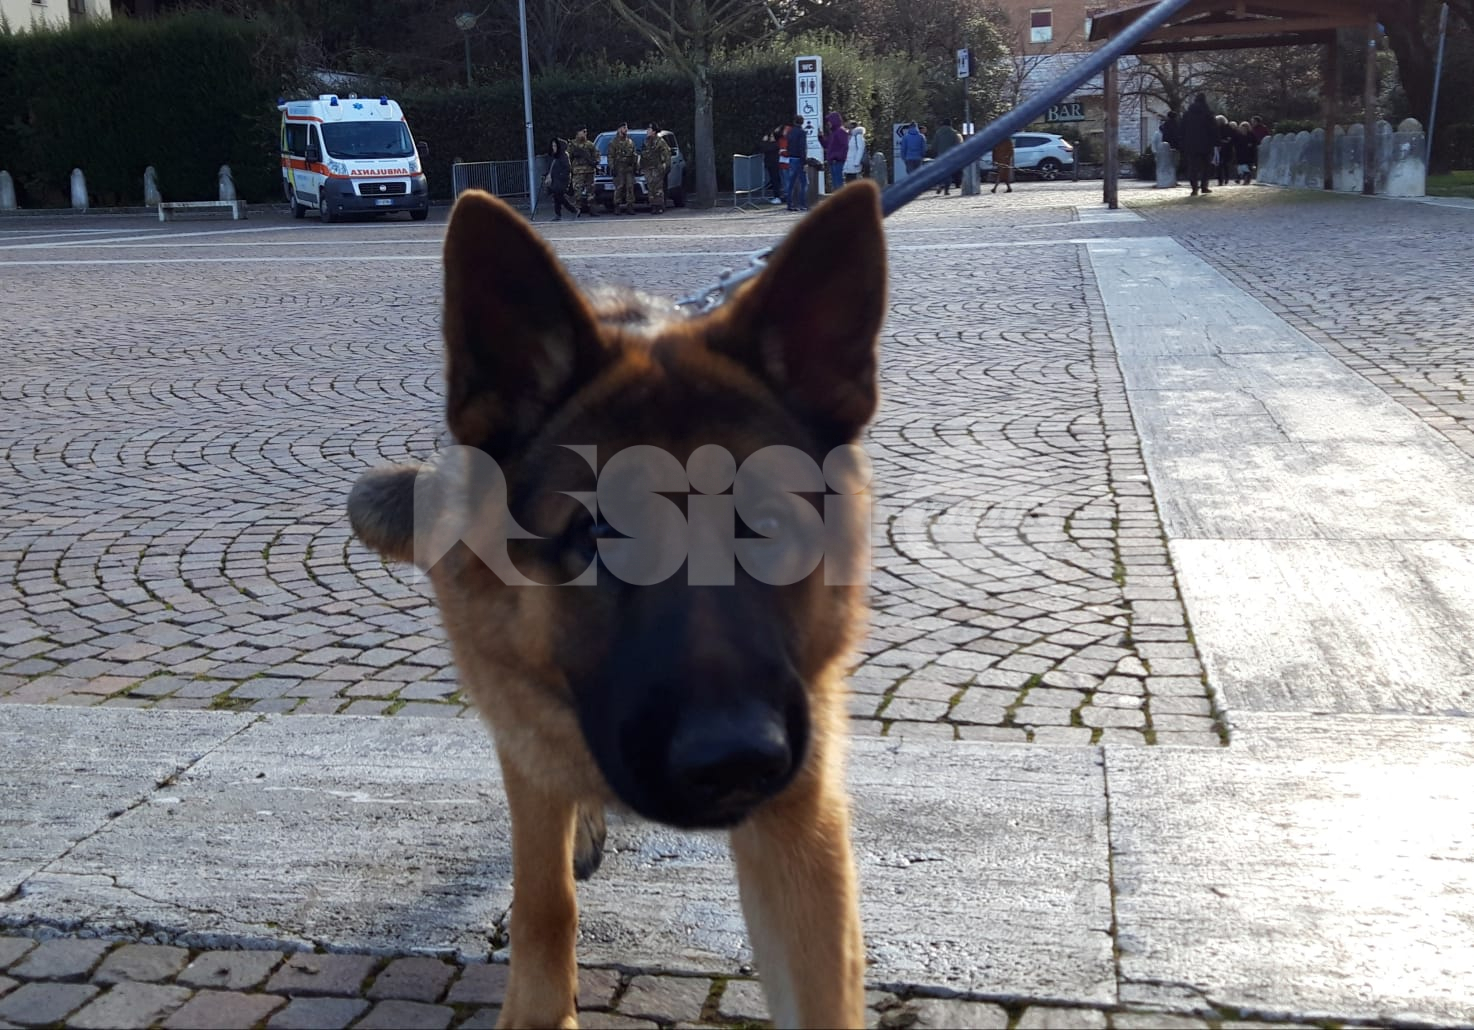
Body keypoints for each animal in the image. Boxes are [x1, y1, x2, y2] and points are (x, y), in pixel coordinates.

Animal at [345, 179, 888, 1028]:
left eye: (768, 524)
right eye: (597, 531)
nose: (734, 759)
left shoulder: (802, 822)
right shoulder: (529, 751)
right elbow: (542, 900)